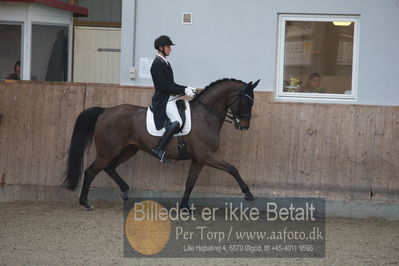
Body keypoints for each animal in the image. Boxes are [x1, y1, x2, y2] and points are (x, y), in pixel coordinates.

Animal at [62, 78, 260, 209]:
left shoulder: (199, 159)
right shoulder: (206, 156)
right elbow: (233, 169)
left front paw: (184, 206)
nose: (245, 126)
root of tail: (105, 111)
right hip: (108, 151)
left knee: (110, 168)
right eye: (246, 101)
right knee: (91, 171)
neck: (205, 114)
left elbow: (190, 182)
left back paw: (125, 191)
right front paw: (248, 194)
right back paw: (85, 203)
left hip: (129, 149)